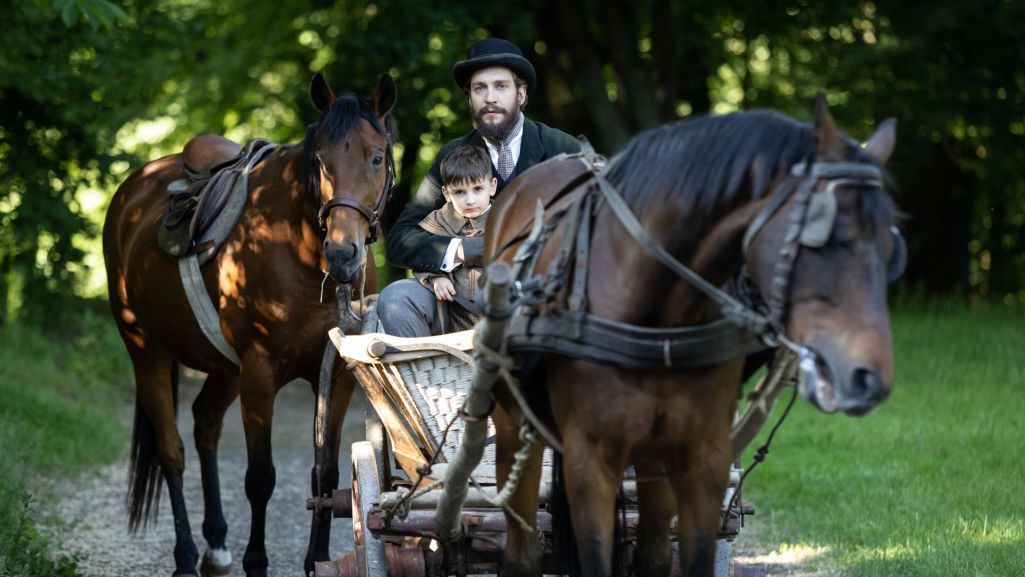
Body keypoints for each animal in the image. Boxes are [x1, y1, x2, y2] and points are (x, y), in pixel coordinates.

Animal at [100, 73, 395, 577]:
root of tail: (131, 194)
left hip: (224, 368)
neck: (300, 252)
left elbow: (326, 472)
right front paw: (256, 561)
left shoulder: (336, 376)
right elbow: (260, 478)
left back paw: (216, 545)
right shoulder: (259, 374)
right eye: (321, 161)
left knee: (204, 425)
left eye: (377, 157)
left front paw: (317, 559)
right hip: (145, 349)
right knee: (172, 451)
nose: (343, 254)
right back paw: (185, 556)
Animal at [483, 94, 902, 577]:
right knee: (523, 548)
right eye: (831, 236)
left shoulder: (702, 458)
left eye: (891, 248)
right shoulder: (590, 460)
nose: (869, 379)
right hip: (514, 426)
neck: (657, 319)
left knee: (652, 551)